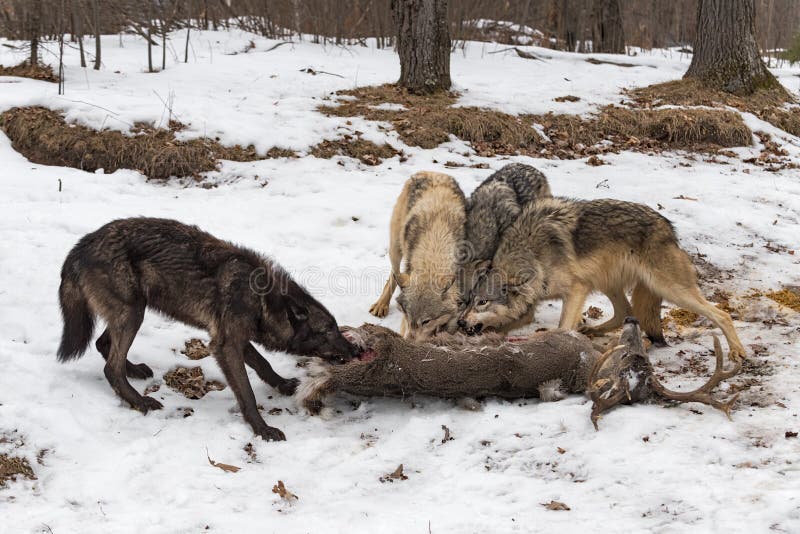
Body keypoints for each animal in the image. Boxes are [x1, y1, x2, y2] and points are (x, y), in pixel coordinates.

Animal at [58, 216, 354, 442]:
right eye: (329, 331)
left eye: (337, 328)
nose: (354, 349)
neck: (262, 298)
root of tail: (81, 246)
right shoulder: (226, 345)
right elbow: (247, 393)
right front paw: (262, 429)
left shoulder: (233, 338)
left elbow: (264, 364)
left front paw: (283, 384)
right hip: (133, 314)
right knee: (111, 367)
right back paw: (140, 402)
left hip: (132, 311)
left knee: (103, 345)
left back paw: (135, 371)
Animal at [370, 172, 468, 342]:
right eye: (407, 316)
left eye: (426, 321)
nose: (407, 343)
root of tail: (430, 171)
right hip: (395, 249)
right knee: (393, 275)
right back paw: (381, 304)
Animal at [460, 198, 748, 364]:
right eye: (469, 301)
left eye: (483, 302)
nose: (461, 322)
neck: (534, 256)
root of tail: (669, 228)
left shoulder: (577, 289)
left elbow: (563, 325)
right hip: (608, 283)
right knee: (625, 312)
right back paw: (592, 330)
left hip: (671, 290)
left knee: (721, 314)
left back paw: (737, 351)